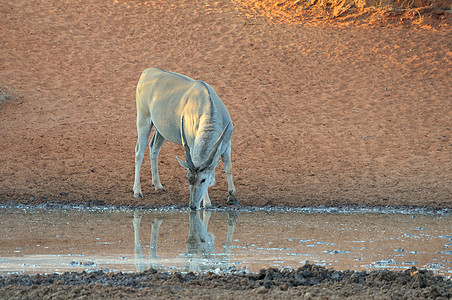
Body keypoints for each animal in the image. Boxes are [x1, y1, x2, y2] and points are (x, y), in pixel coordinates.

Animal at [133, 68, 238, 210]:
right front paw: (207, 203)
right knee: (139, 152)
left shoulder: (227, 143)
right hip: (143, 120)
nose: (192, 206)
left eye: (203, 180)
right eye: (188, 179)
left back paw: (158, 185)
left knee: (153, 147)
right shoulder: (192, 144)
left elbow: (228, 168)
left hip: (161, 129)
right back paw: (137, 191)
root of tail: (147, 72)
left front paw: (232, 197)